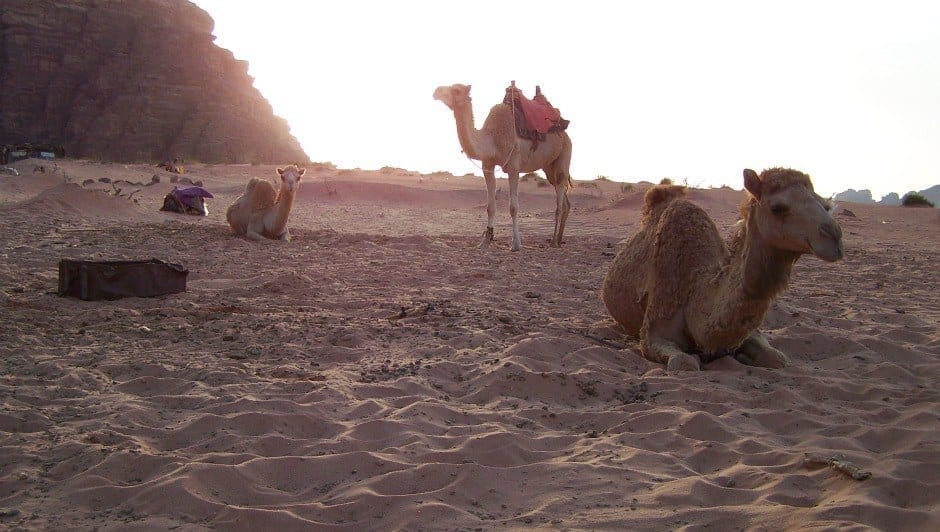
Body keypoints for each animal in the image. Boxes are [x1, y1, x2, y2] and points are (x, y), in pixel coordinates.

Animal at [433, 83, 573, 251]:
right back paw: (558, 239)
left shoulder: (513, 167)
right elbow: (490, 206)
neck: (492, 138)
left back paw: (553, 241)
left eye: (457, 90)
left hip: (564, 154)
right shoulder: (487, 165)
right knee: (564, 199)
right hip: (548, 168)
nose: (436, 92)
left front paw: (516, 244)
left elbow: (513, 207)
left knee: (560, 196)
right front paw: (485, 241)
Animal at [601, 168, 844, 372]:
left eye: (826, 205)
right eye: (777, 208)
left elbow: (779, 359)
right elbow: (684, 362)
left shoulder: (751, 333)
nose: (835, 237)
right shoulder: (653, 331)